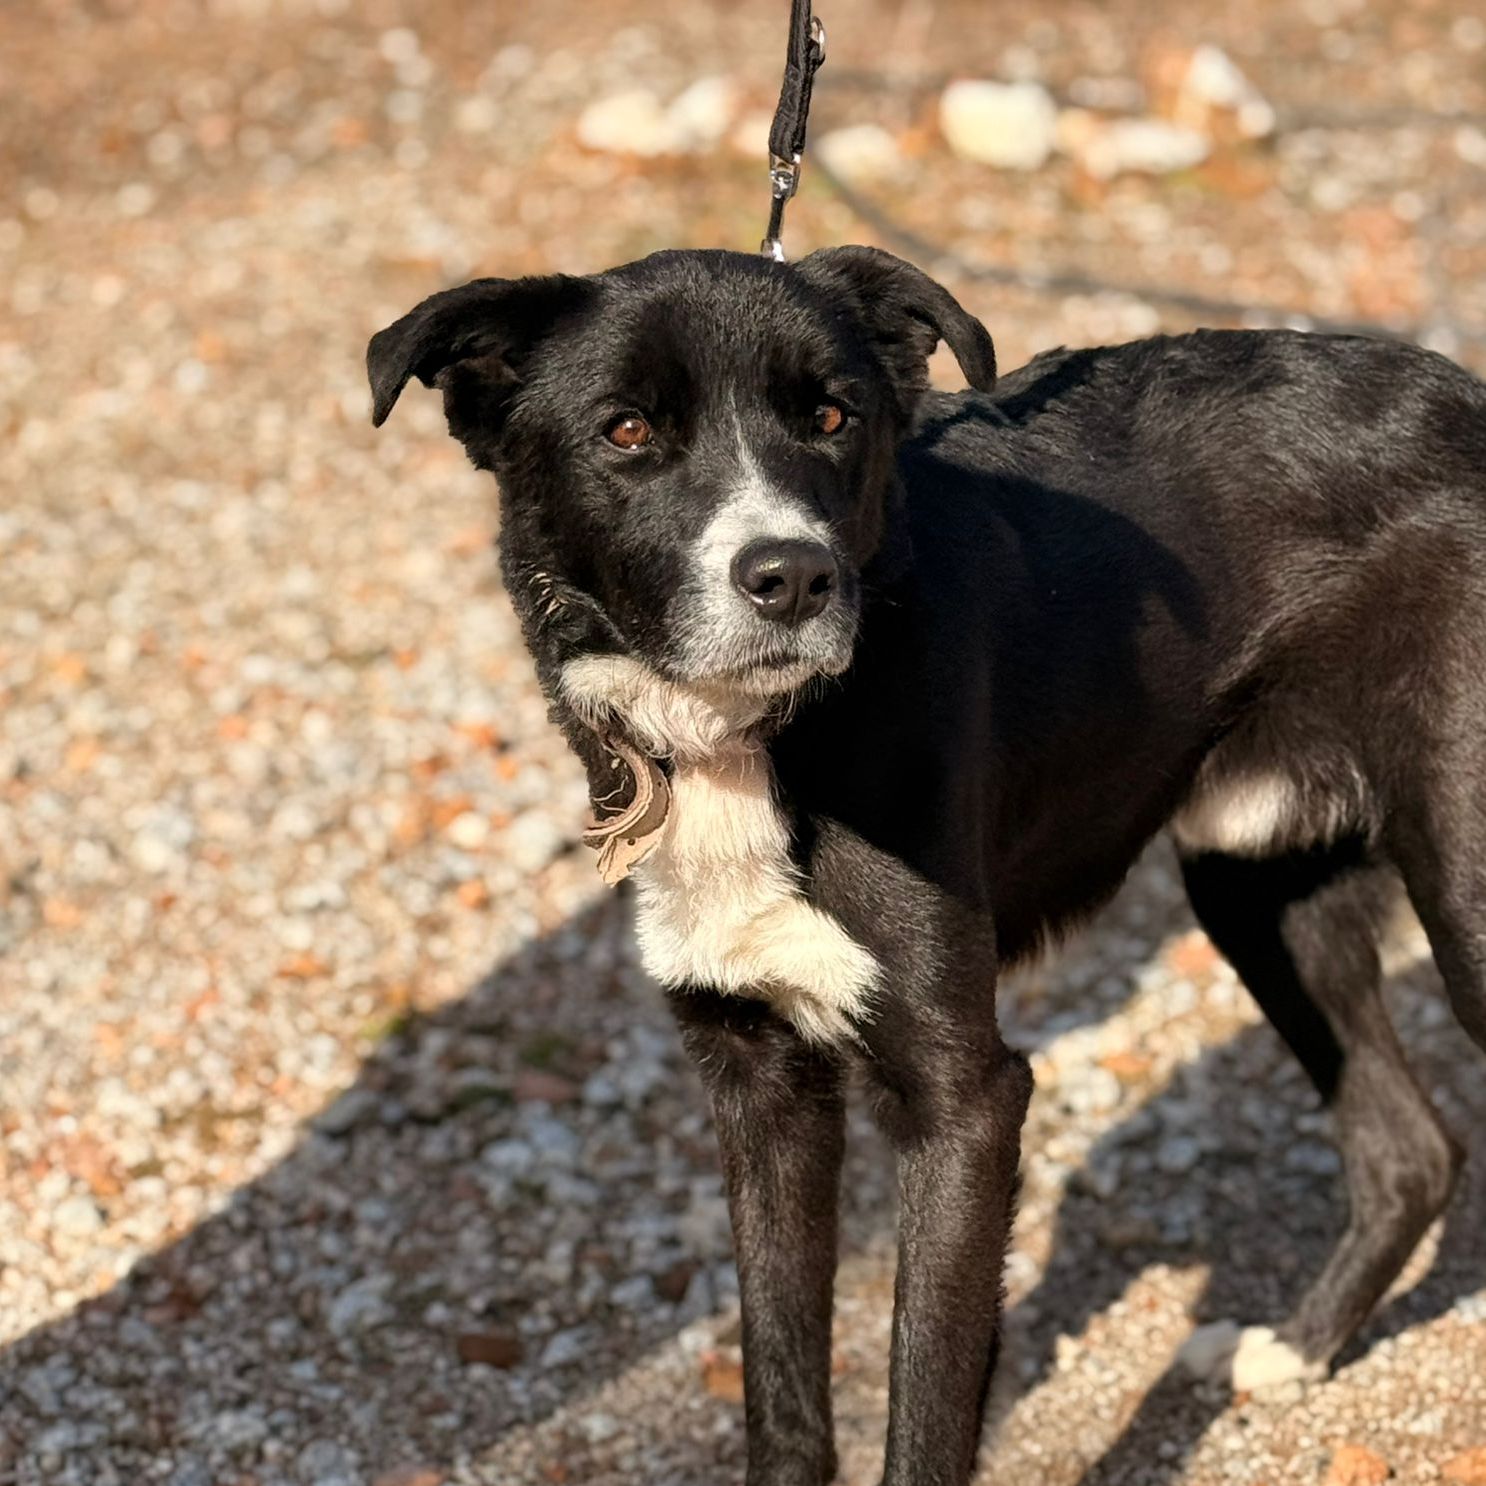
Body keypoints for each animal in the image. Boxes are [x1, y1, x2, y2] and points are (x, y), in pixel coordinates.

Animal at [368, 245, 1486, 1486]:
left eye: (830, 415)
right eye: (626, 430)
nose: (791, 577)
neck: (764, 739)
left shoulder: (968, 1103)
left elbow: (927, 1404)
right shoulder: (760, 1080)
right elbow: (783, 1387)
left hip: (1461, 901)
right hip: (1257, 884)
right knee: (1409, 1147)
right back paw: (1296, 1346)